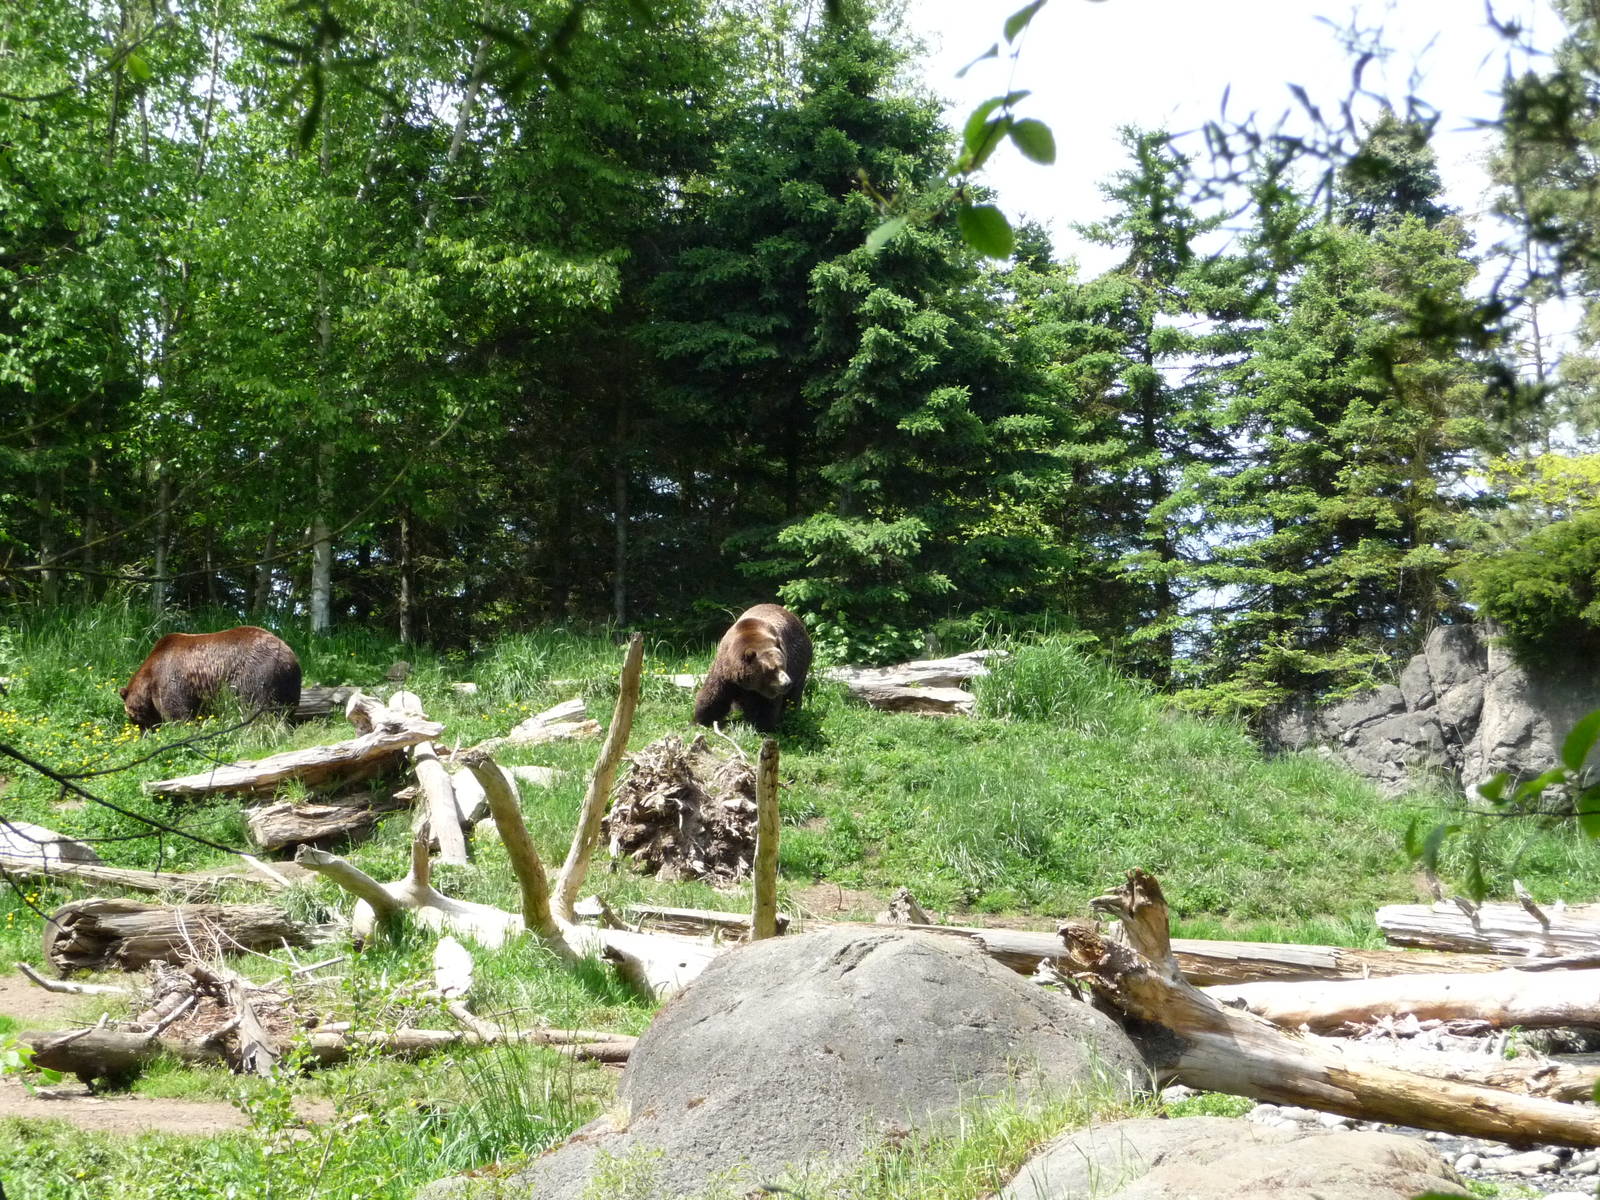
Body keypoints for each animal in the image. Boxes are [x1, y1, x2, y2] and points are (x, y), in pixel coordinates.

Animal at [120, 626, 302, 731]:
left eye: (132, 715)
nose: (143, 732)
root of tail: (288, 656)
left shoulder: (170, 679)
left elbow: (177, 711)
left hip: (256, 674)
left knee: (256, 706)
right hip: (288, 684)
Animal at [693, 604, 812, 733]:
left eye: (782, 665)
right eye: (771, 669)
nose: (786, 683)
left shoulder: (766, 690)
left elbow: (765, 706)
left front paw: (762, 726)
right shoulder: (724, 670)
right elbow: (714, 695)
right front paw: (701, 720)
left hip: (800, 664)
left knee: (794, 695)